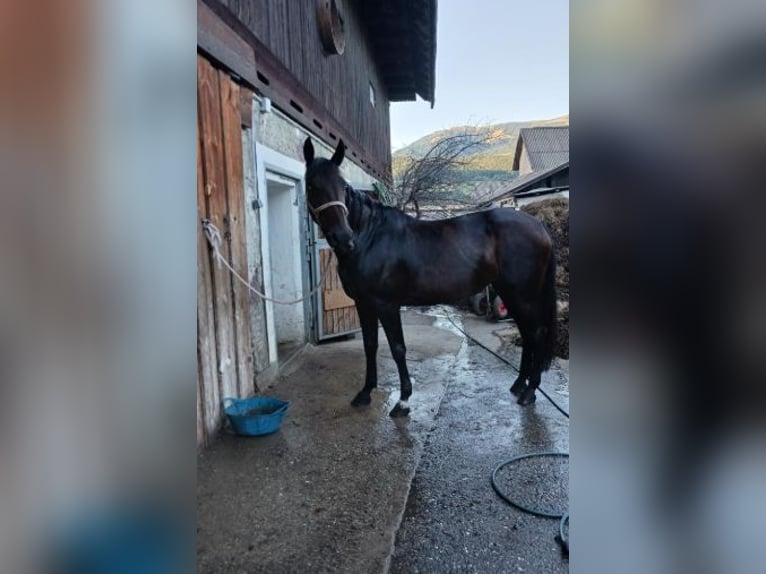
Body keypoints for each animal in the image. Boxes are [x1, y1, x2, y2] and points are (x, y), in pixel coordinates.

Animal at [303, 137, 557, 417]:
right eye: (312, 185)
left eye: (343, 186)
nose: (344, 239)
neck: (370, 237)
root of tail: (540, 227)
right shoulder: (363, 304)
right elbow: (370, 345)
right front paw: (365, 393)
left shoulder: (386, 305)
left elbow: (398, 349)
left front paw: (403, 401)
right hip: (510, 293)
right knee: (527, 333)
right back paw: (519, 385)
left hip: (523, 294)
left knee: (536, 333)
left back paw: (530, 392)